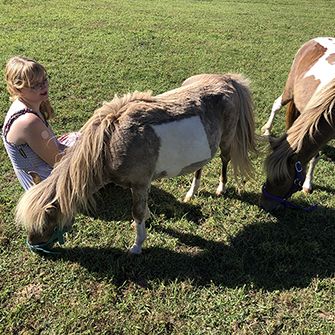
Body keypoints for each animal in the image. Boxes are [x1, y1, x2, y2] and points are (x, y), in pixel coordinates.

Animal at [15, 74, 258, 255]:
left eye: (45, 222)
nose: (33, 244)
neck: (108, 143)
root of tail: (228, 79)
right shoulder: (138, 185)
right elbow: (141, 211)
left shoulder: (140, 184)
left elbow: (137, 212)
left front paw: (137, 245)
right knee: (200, 164)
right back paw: (192, 191)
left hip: (226, 141)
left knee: (225, 160)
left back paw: (221, 187)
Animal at [262, 36, 335, 194]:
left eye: (282, 180)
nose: (265, 198)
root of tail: (317, 39)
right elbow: (314, 156)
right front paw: (307, 184)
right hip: (289, 90)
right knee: (276, 104)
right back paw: (267, 130)